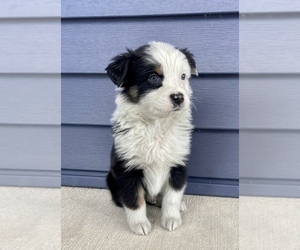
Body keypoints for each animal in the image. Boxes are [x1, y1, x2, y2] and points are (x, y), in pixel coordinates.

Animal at [105, 42, 197, 235]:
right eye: (154, 77)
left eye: (183, 76)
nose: (179, 97)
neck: (156, 124)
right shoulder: (127, 168)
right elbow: (134, 199)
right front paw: (139, 224)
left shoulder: (177, 165)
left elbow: (172, 197)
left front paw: (171, 219)